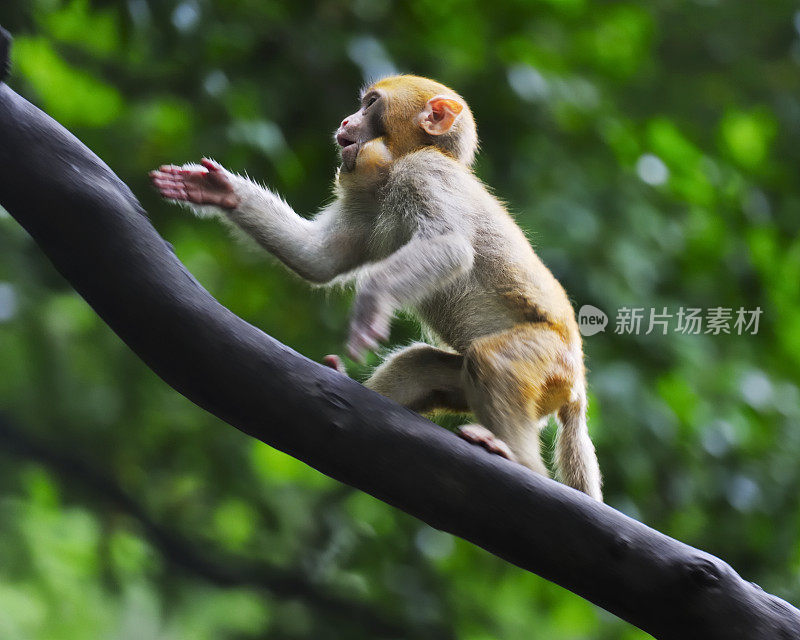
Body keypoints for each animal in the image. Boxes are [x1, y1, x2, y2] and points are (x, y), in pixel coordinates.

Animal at [148, 72, 600, 498]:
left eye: (370, 104)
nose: (345, 120)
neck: (398, 164)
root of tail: (576, 383)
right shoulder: (367, 200)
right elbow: (319, 258)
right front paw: (219, 190)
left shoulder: (425, 174)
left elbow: (451, 247)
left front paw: (372, 302)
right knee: (420, 365)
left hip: (547, 357)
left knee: (495, 362)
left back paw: (518, 461)